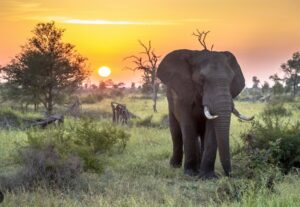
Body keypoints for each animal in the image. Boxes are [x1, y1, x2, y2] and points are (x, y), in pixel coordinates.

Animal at [157, 49, 253, 179]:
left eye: (231, 79)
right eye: (201, 79)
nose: (230, 174)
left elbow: (211, 128)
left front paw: (208, 177)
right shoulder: (183, 95)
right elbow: (188, 125)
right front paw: (190, 174)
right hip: (170, 102)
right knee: (176, 131)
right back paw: (175, 166)